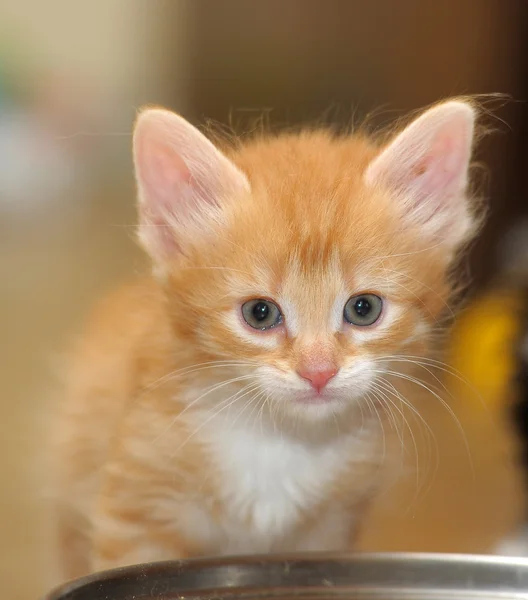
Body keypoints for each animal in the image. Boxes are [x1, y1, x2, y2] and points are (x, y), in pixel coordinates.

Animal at [51, 101, 480, 580]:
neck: (280, 440)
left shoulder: (329, 531)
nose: (318, 371)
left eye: (364, 309)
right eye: (260, 313)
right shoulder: (137, 510)